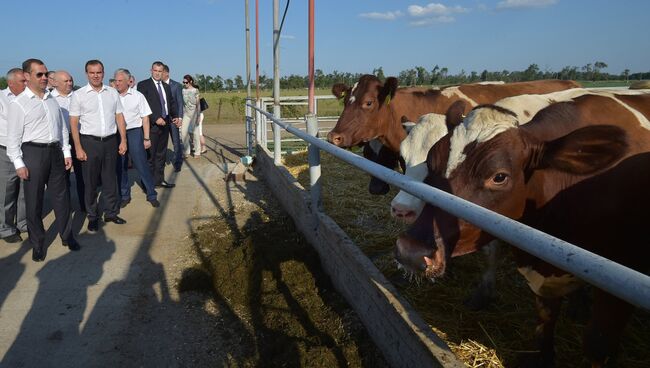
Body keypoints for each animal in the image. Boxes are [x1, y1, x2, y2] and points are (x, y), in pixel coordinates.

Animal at [392, 90, 648, 366]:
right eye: (432, 161)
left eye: (499, 176)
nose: (410, 250)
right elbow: (545, 318)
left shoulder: (618, 290)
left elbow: (597, 344)